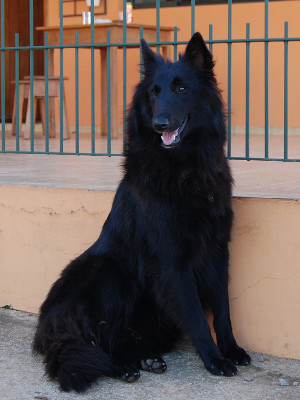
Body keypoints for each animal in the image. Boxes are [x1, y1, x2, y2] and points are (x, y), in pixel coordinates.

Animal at [32, 32, 251, 392]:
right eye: (154, 92)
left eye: (181, 88)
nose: (159, 123)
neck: (186, 168)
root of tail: (50, 321)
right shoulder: (173, 263)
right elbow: (196, 316)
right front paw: (215, 359)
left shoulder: (218, 252)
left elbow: (222, 310)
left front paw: (231, 349)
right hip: (111, 273)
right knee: (100, 342)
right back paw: (123, 367)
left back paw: (144, 359)